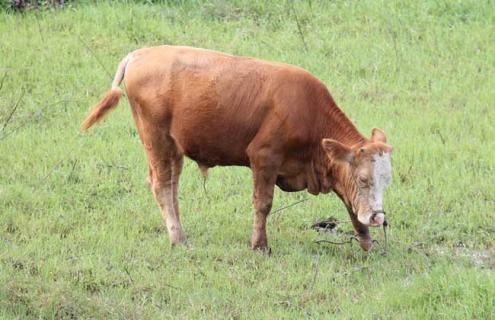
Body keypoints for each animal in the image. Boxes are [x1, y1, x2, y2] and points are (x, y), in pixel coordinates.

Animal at [82, 45, 396, 252]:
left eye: (386, 181)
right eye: (364, 179)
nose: (379, 217)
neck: (309, 113)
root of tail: (140, 54)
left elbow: (351, 206)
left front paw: (367, 241)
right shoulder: (264, 157)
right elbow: (263, 203)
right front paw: (260, 245)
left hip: (173, 146)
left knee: (171, 186)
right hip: (155, 137)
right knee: (161, 185)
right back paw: (178, 239)